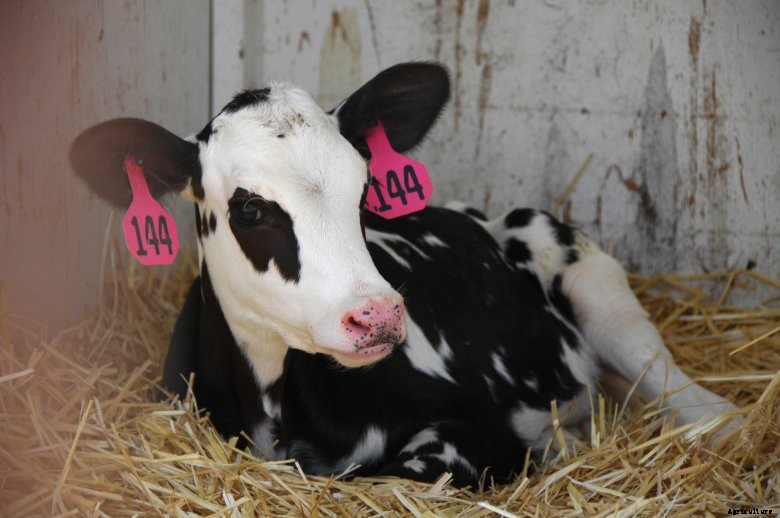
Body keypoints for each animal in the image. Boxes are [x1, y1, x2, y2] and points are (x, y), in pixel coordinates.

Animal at [70, 63, 738, 487]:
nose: (378, 315)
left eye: (365, 186)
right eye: (250, 208)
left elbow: (411, 469)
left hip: (596, 286)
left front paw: (556, 444)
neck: (277, 411)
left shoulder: (476, 430)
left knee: (693, 400)